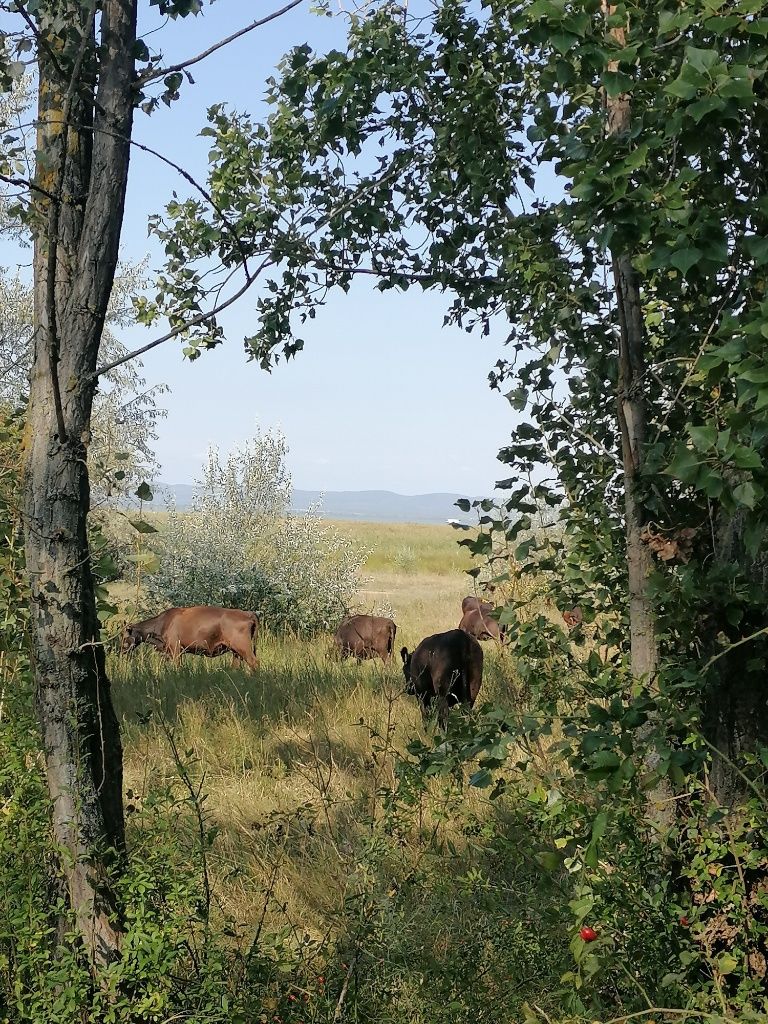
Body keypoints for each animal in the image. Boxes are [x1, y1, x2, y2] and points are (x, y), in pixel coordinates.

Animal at [123, 606, 260, 671]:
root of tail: (248, 613)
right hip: (236, 651)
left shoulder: (176, 649)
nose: (121, 651)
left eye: (124, 637)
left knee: (254, 662)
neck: (163, 622)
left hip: (243, 647)